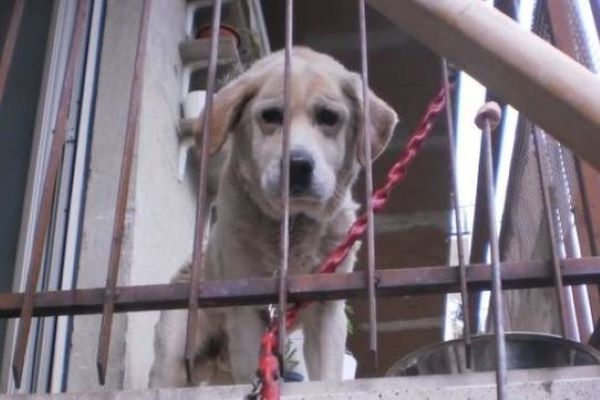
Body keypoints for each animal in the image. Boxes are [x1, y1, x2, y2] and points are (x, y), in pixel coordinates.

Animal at [148, 47, 396, 388]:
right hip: (173, 357)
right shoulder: (246, 310)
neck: (290, 228)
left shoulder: (327, 309)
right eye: (271, 116)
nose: (298, 165)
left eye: (328, 118)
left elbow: (327, 375)